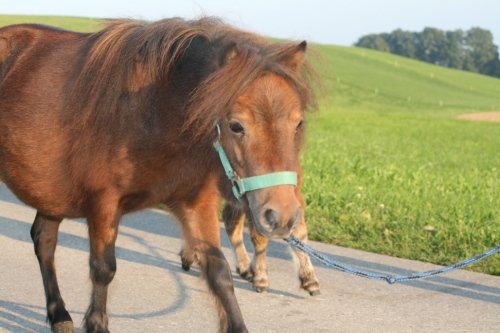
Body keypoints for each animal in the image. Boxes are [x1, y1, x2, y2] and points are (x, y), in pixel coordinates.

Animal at [0, 17, 316, 332]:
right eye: (236, 126)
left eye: (298, 123)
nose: (282, 216)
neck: (153, 110)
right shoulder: (103, 203)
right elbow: (103, 269)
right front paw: (97, 324)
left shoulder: (196, 203)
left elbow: (219, 273)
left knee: (44, 241)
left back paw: (59, 314)